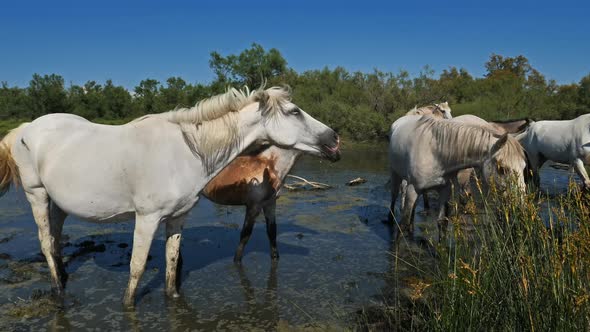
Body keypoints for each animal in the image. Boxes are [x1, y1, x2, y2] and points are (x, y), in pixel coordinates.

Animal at [0, 86, 342, 306]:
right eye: (294, 112)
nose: (335, 139)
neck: (186, 152)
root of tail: (24, 128)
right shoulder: (147, 218)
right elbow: (137, 267)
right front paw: (128, 305)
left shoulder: (178, 217)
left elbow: (172, 260)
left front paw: (173, 298)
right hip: (37, 195)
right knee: (46, 243)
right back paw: (58, 289)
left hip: (59, 203)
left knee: (56, 240)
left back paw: (64, 276)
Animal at [388, 115, 528, 240]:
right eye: (502, 169)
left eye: (524, 167)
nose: (521, 204)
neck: (436, 154)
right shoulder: (413, 188)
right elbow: (403, 224)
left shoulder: (444, 190)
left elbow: (442, 222)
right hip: (396, 175)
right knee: (394, 197)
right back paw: (390, 220)